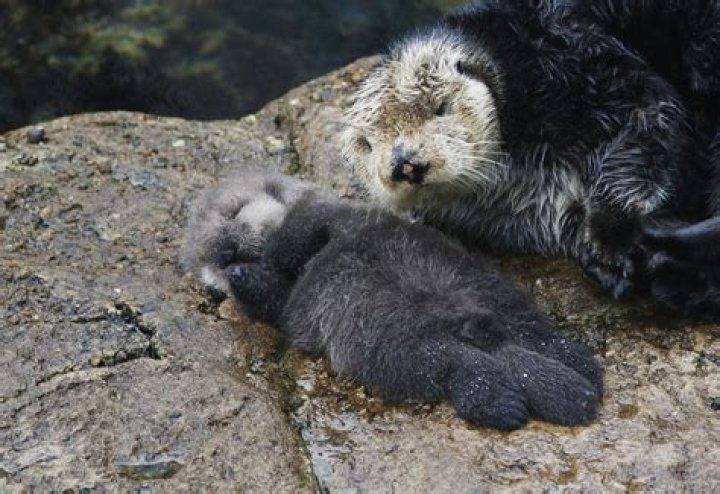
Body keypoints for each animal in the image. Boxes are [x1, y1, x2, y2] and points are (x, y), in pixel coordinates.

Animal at [183, 169, 602, 430]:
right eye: (212, 262)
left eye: (233, 211)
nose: (226, 253)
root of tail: (476, 330)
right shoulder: (281, 302)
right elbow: (273, 297)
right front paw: (242, 277)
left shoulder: (321, 212)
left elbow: (303, 226)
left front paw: (269, 255)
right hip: (401, 344)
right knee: (461, 360)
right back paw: (533, 389)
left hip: (475, 294)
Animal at [343, 0, 720, 308]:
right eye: (367, 144)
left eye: (441, 107)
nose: (405, 164)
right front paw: (606, 264)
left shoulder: (576, 65)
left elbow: (647, 119)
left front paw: (610, 236)